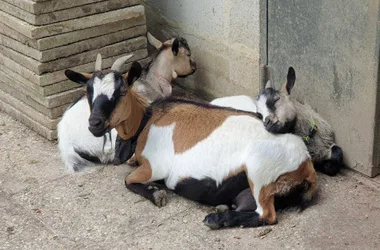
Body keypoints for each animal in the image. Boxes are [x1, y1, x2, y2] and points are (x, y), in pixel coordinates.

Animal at [64, 65, 318, 229]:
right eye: (88, 93)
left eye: (122, 91)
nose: (94, 124)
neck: (147, 120)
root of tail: (306, 163)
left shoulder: (154, 166)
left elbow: (128, 180)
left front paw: (156, 194)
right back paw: (222, 210)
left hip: (259, 171)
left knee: (267, 216)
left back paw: (215, 220)